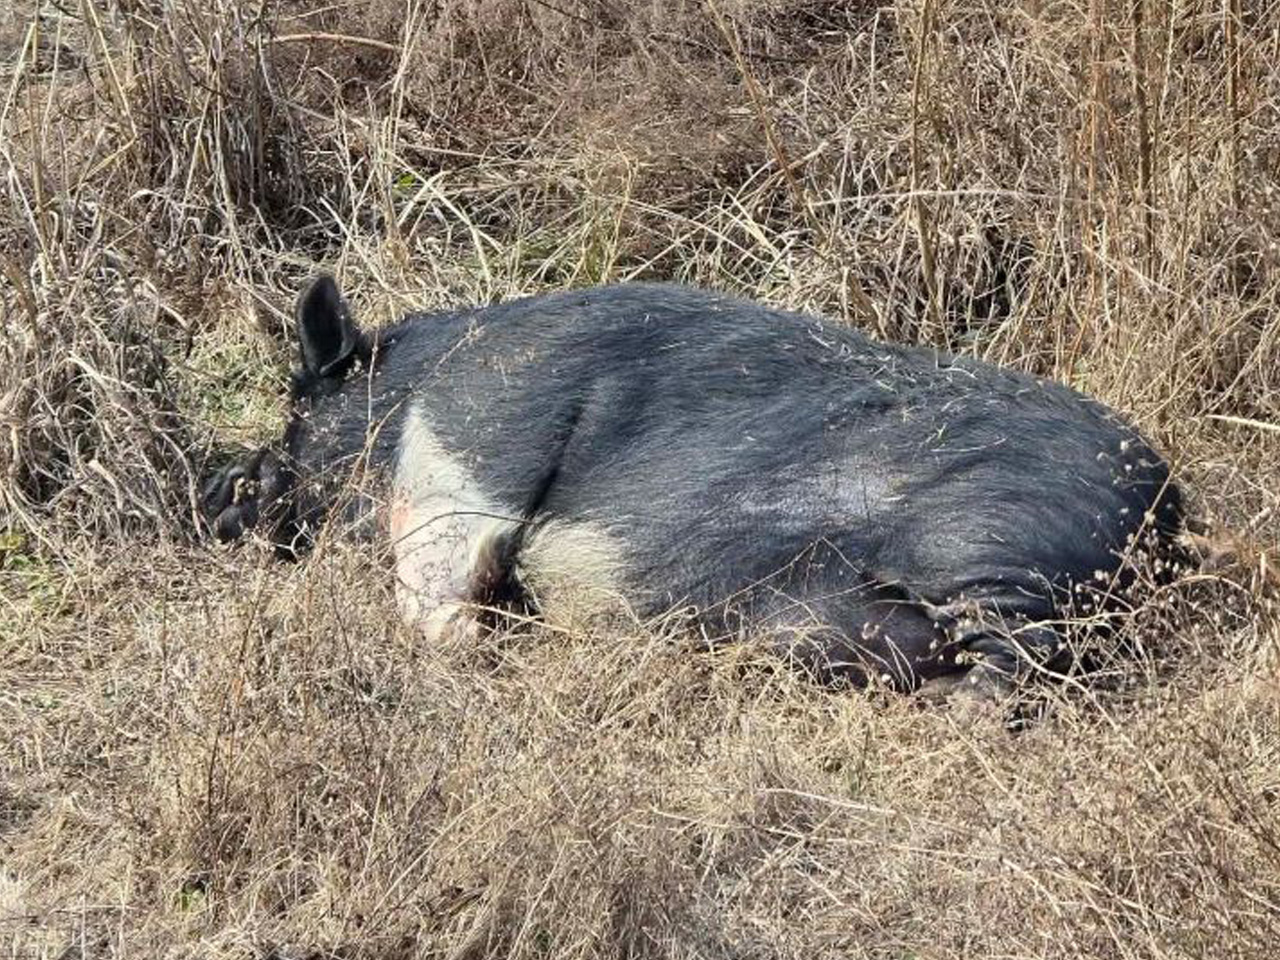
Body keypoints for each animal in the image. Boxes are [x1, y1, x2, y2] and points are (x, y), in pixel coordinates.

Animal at [203, 276, 1184, 694]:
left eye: (294, 418)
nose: (215, 491)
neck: (407, 389)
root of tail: (1168, 518)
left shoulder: (484, 424)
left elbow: (440, 577)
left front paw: (462, 645)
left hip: (994, 545)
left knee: (1028, 668)